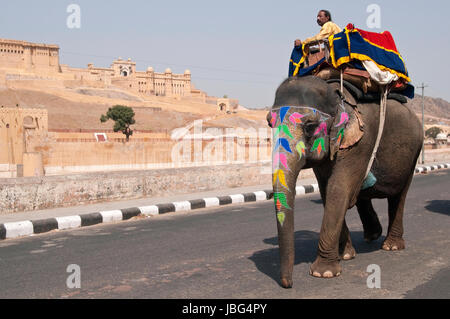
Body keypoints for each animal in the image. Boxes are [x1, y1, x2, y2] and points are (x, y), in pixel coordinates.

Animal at [268, 75, 426, 290]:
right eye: (269, 123)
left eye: (309, 127)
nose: (288, 284)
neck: (335, 95)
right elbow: (327, 191)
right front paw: (345, 256)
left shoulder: (360, 142)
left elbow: (338, 189)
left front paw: (323, 273)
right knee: (361, 193)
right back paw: (372, 235)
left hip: (414, 153)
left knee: (398, 196)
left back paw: (391, 246)